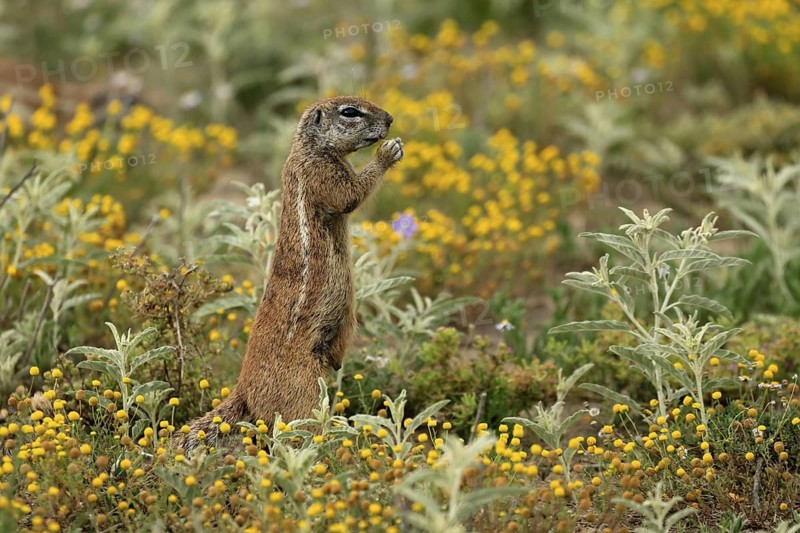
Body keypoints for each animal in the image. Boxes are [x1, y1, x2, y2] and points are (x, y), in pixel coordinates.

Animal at [175, 96, 403, 451]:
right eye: (350, 112)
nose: (391, 119)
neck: (307, 148)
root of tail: (243, 390)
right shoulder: (323, 174)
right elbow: (351, 195)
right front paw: (389, 151)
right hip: (303, 394)